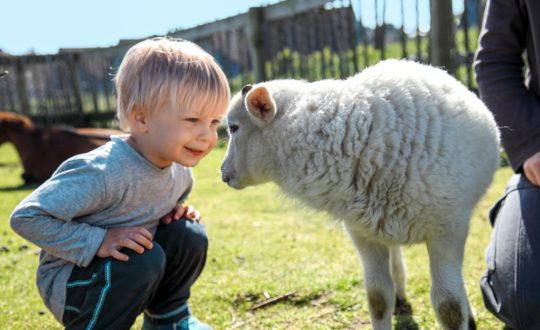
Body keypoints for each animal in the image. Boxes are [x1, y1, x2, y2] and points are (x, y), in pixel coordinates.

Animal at [219, 60, 498, 330]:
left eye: (234, 127)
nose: (223, 173)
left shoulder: (447, 230)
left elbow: (449, 306)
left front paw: (462, 313)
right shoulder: (363, 234)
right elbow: (378, 298)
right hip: (382, 222)